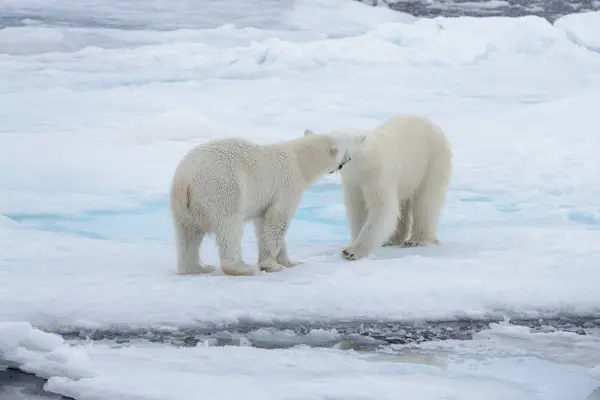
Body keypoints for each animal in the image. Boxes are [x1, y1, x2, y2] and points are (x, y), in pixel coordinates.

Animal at [169, 131, 360, 276]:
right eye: (345, 151)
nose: (350, 159)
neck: (299, 160)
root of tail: (185, 179)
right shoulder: (287, 185)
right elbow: (277, 220)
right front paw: (271, 265)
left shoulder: (265, 201)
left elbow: (263, 224)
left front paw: (289, 262)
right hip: (223, 190)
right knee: (230, 228)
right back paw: (242, 268)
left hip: (183, 206)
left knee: (187, 234)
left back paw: (196, 268)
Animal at [304, 114, 450, 260]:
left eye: (340, 148)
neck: (363, 165)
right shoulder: (353, 181)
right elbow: (358, 208)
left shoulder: (378, 176)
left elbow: (382, 208)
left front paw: (352, 252)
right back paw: (392, 240)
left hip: (432, 161)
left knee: (426, 201)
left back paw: (416, 240)